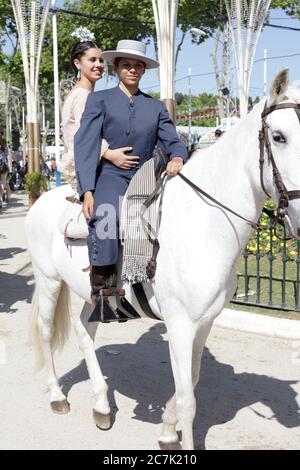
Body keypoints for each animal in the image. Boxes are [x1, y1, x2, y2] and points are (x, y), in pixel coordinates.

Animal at [24, 69, 300, 448]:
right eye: (278, 136)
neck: (204, 221)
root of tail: (41, 199)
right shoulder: (181, 324)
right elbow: (187, 399)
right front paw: (177, 435)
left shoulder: (205, 321)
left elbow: (192, 380)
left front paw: (167, 429)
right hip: (49, 280)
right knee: (47, 329)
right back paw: (56, 396)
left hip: (94, 295)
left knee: (84, 330)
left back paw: (101, 405)